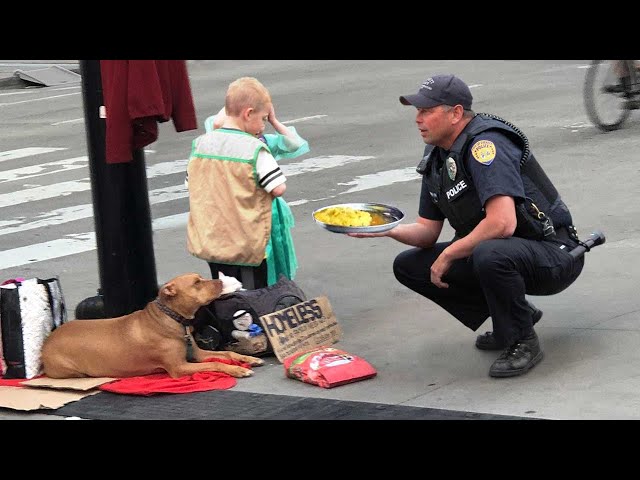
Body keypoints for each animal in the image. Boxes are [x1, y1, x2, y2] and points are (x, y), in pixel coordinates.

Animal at [41, 274, 264, 378]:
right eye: (196, 283)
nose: (220, 281)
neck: (173, 319)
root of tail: (48, 340)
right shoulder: (180, 367)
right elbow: (216, 364)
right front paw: (238, 370)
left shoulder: (197, 354)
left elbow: (227, 354)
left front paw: (248, 359)